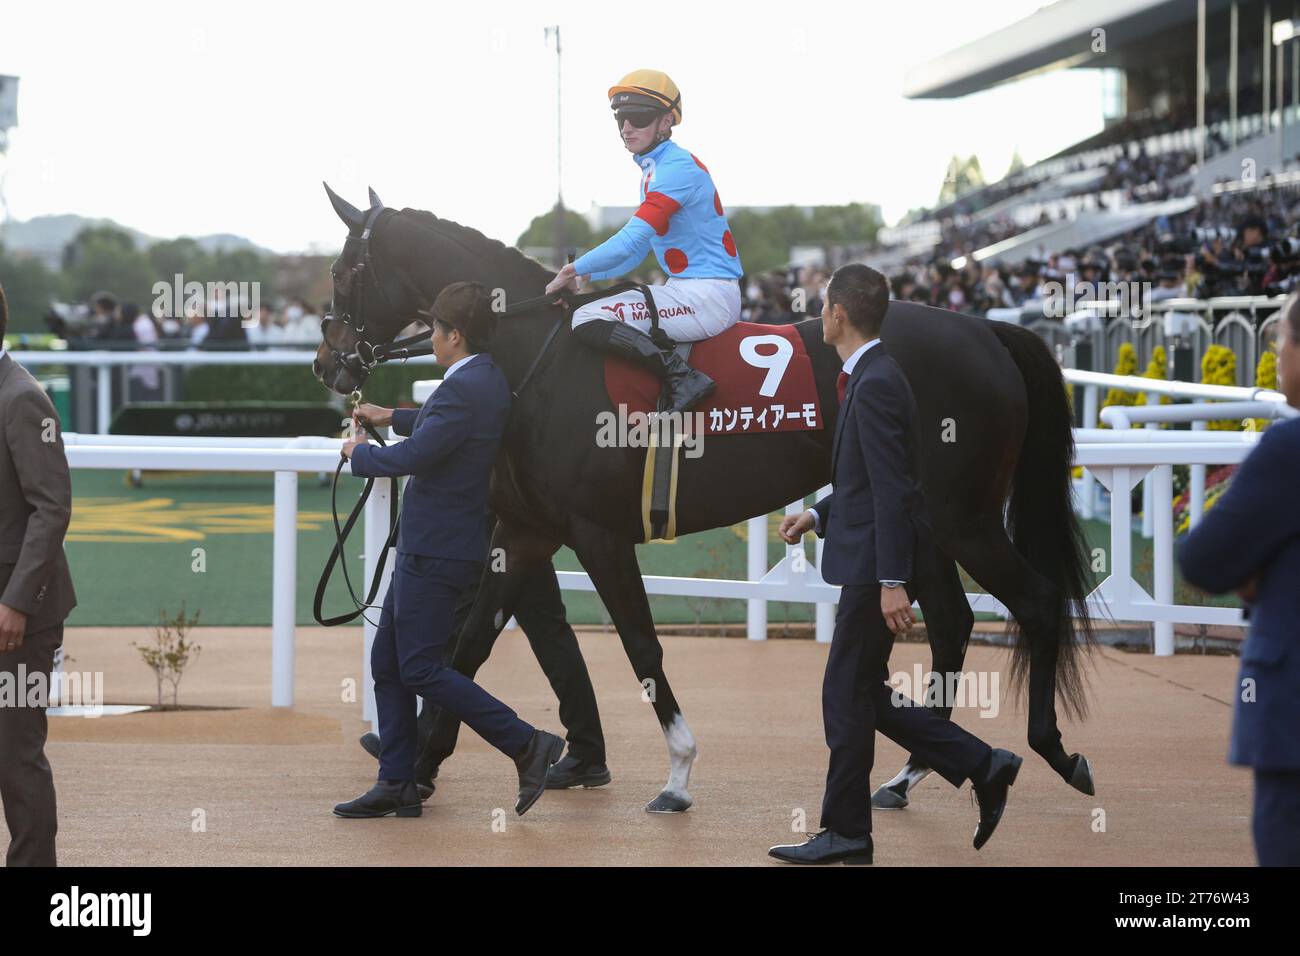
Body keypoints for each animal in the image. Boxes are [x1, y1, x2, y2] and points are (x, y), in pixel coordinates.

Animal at [314, 187, 1097, 816]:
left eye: (344, 272)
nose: (327, 363)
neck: (540, 358)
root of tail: (987, 329)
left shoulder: (597, 533)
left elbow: (639, 643)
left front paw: (679, 773)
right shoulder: (525, 529)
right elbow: (468, 647)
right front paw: (414, 773)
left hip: (960, 516)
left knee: (1033, 600)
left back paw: (1053, 749)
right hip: (919, 520)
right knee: (955, 621)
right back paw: (910, 775)